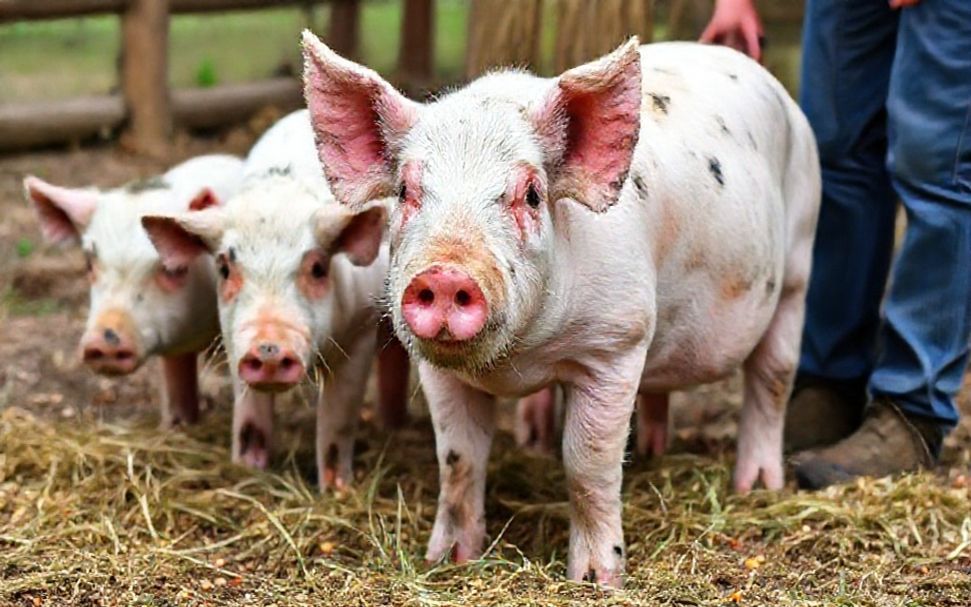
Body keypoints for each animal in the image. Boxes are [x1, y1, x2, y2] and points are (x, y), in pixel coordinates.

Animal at [141, 110, 407, 489]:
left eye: (317, 268)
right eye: (224, 267)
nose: (268, 348)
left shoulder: (360, 330)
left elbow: (337, 421)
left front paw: (336, 490)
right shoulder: (235, 340)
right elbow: (250, 419)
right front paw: (247, 469)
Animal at [302, 32, 821, 585]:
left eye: (531, 194)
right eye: (405, 191)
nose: (444, 275)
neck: (522, 358)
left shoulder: (618, 342)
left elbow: (587, 464)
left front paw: (596, 580)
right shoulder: (437, 369)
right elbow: (459, 458)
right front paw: (445, 561)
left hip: (798, 264)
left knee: (772, 379)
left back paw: (758, 486)